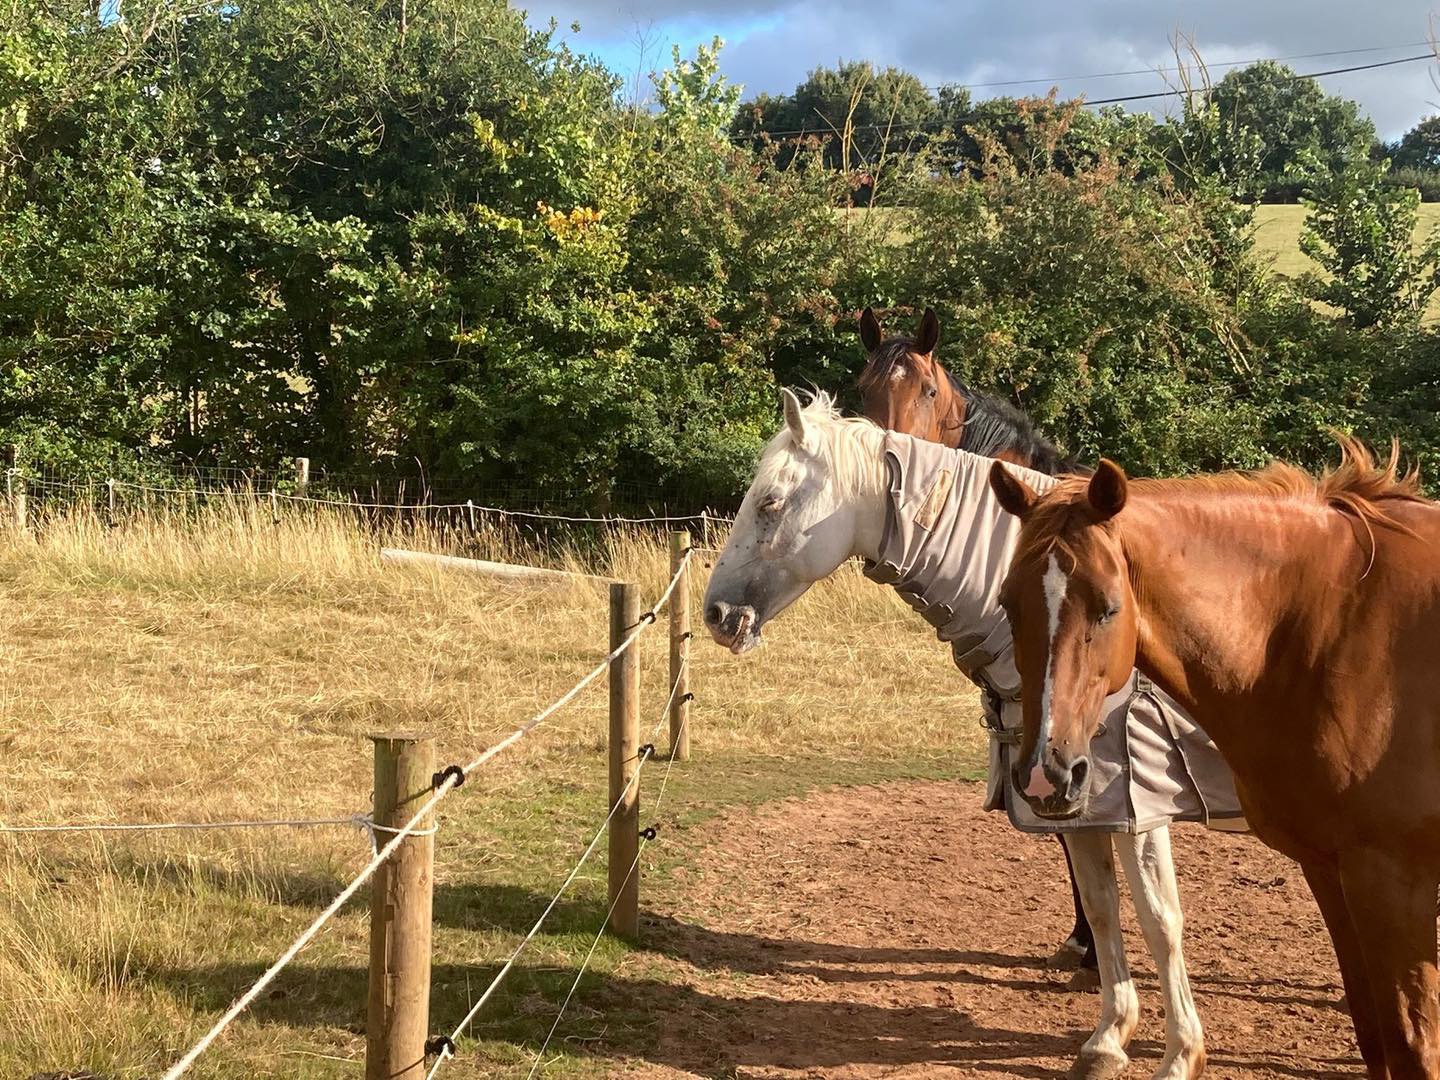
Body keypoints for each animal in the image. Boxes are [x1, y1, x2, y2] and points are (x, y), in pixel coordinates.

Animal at [704, 389, 1223, 1080]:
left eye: (770, 502)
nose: (715, 613)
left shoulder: (1137, 802)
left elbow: (1160, 918)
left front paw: (1181, 1052)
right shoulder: (1080, 801)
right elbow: (1104, 904)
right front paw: (1108, 1036)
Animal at [988, 446, 1440, 1079]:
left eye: (1108, 608)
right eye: (1008, 604)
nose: (1045, 774)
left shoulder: (1395, 883)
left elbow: (1412, 1046)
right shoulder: (1331, 871)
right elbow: (1374, 1033)